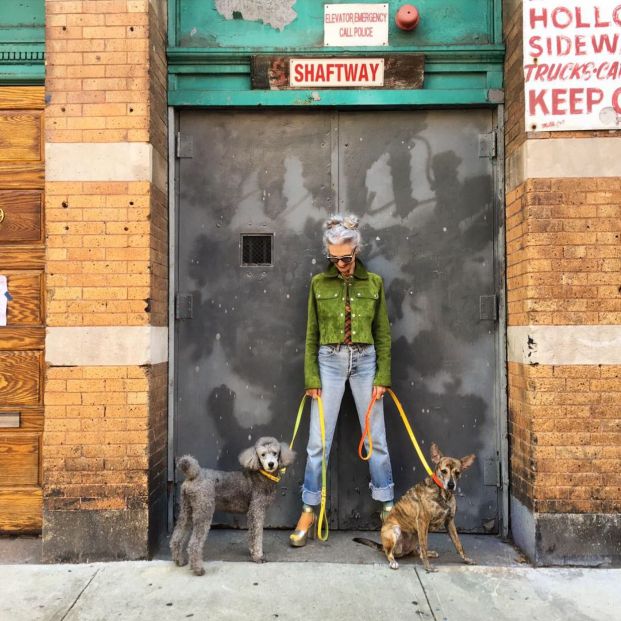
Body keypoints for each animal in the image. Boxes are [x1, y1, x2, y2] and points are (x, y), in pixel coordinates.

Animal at [354, 440, 474, 572]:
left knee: (419, 551)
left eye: (457, 473)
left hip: (417, 534)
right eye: (444, 471)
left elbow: (458, 544)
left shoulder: (449, 521)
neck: (444, 494)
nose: (451, 485)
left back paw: (430, 553)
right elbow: (424, 546)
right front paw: (428, 568)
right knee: (390, 553)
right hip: (395, 531)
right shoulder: (422, 521)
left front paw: (466, 559)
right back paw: (393, 561)